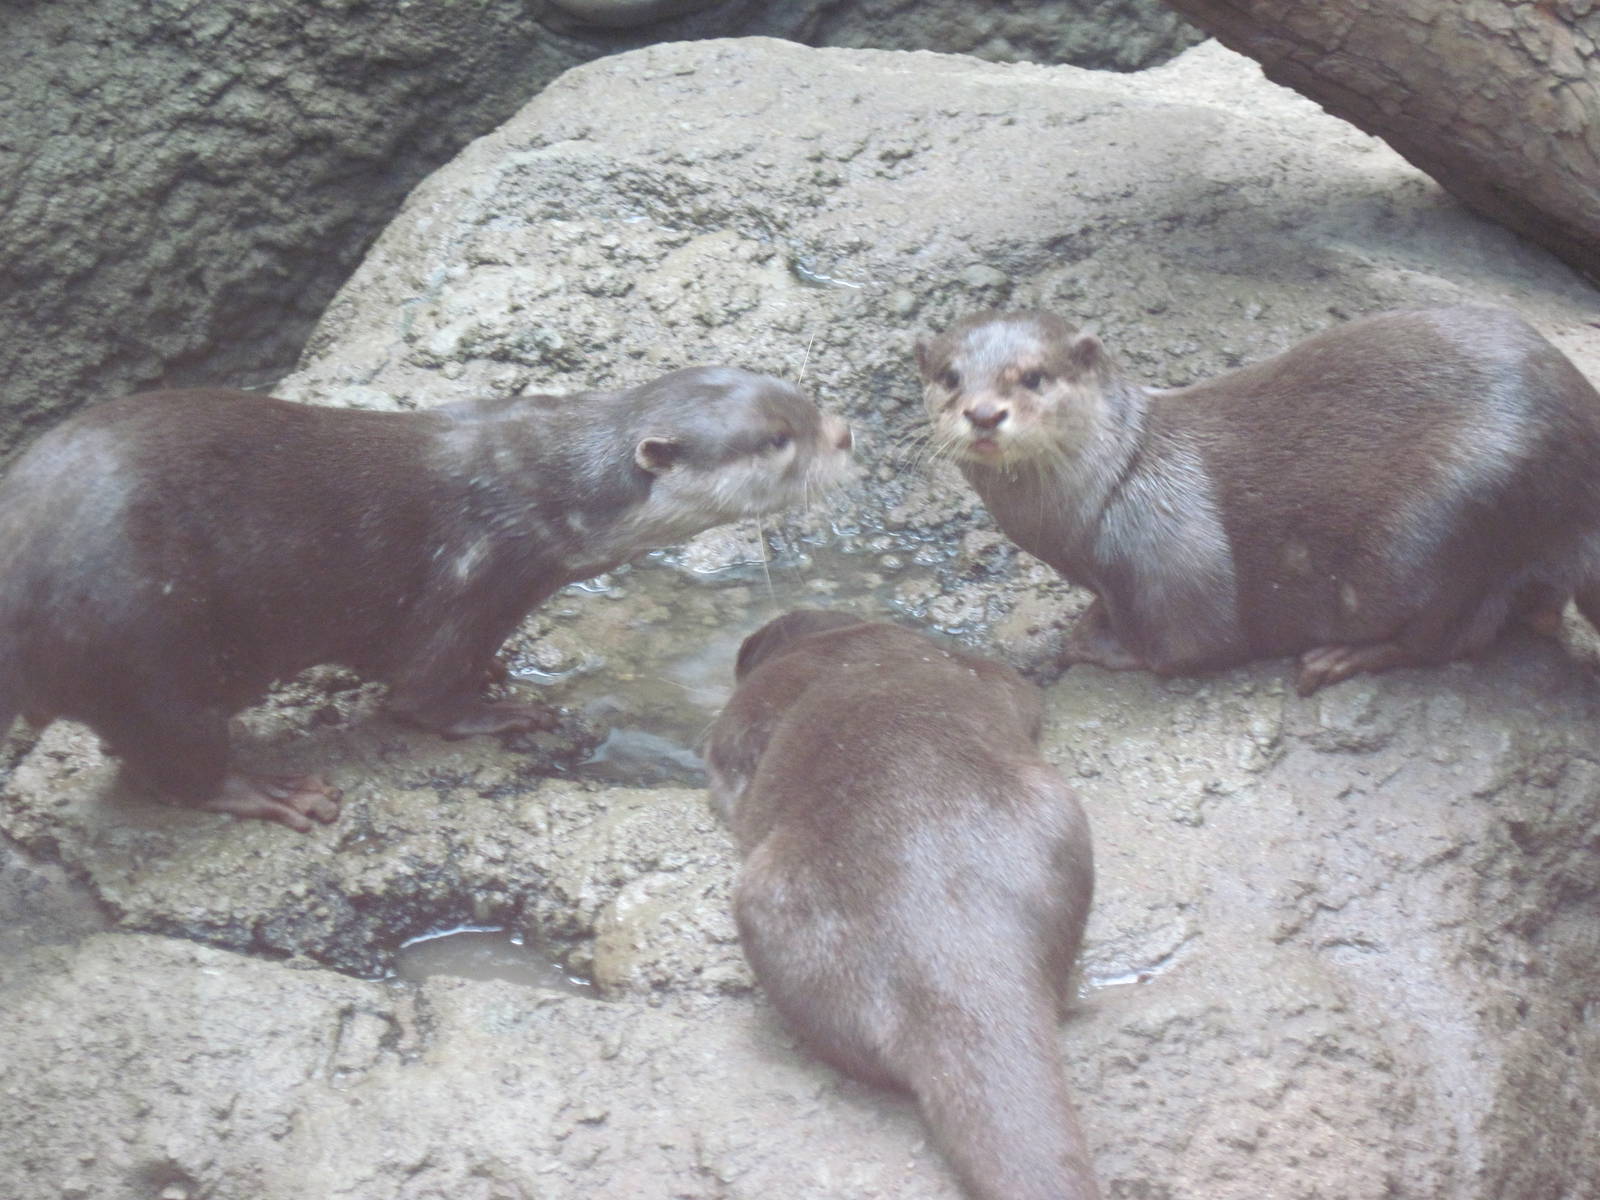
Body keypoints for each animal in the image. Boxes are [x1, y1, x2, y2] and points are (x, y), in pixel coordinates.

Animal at [0, 368, 852, 830]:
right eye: (776, 439)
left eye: (802, 399)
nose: (844, 432)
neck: (548, 494)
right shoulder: (477, 575)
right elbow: (421, 694)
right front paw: (508, 710)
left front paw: (501, 673)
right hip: (142, 642)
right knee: (172, 758)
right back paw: (270, 791)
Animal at [917, 306, 1600, 694]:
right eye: (951, 377)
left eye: (1033, 377)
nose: (984, 413)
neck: (1110, 484)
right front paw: (1091, 617)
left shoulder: (1178, 564)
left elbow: (1186, 647)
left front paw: (1096, 645)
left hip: (1463, 509)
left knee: (1449, 637)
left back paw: (1338, 658)